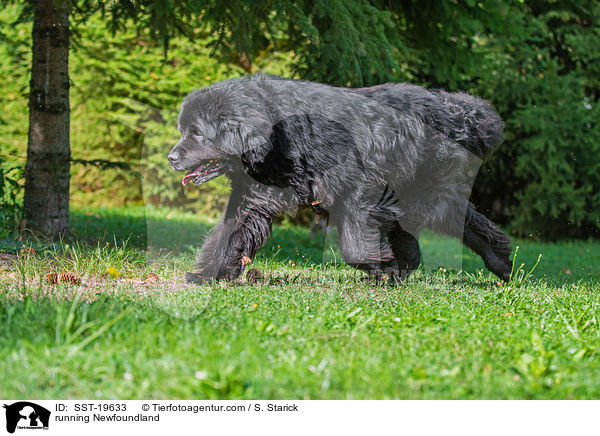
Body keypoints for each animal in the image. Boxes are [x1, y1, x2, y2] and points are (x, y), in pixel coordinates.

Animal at [168, 74, 510, 286]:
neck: (274, 133)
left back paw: (500, 262)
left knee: (461, 222)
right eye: (183, 130)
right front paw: (208, 274)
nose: (171, 157)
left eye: (197, 133)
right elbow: (230, 232)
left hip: (425, 194)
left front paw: (380, 267)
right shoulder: (251, 195)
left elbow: (356, 241)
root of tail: (455, 112)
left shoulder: (359, 189)